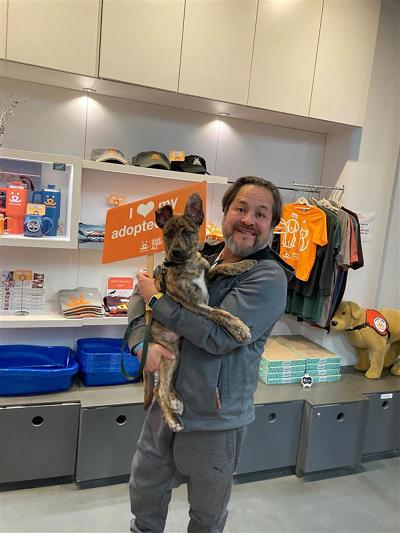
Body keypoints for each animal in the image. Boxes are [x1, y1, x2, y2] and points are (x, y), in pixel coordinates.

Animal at [147, 193, 256, 430]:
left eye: (187, 232)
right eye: (168, 234)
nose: (176, 252)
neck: (186, 264)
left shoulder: (207, 277)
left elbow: (220, 267)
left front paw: (244, 264)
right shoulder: (191, 303)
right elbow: (219, 314)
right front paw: (239, 328)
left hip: (175, 353)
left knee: (165, 385)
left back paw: (176, 398)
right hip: (168, 352)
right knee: (159, 390)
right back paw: (173, 418)